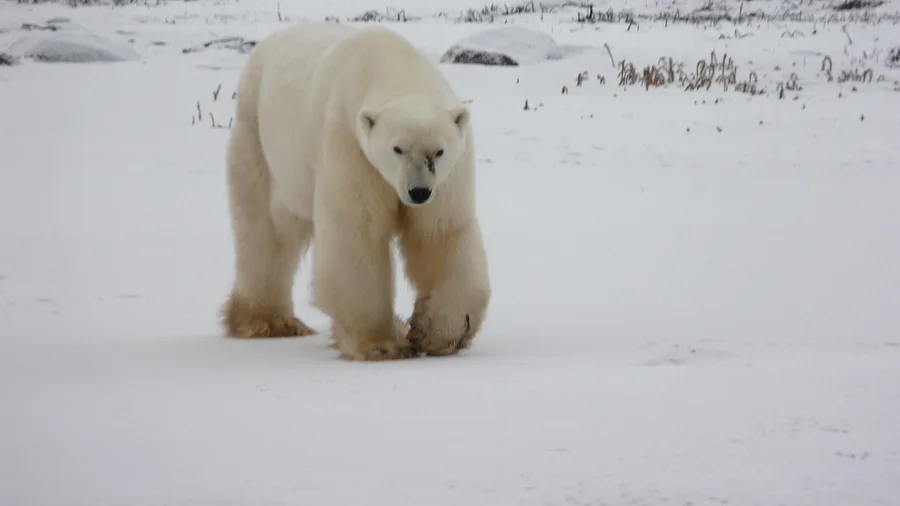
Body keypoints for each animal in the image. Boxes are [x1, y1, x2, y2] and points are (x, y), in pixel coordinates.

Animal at [220, 21, 491, 361]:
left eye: (439, 151)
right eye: (397, 148)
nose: (418, 192)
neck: (394, 66)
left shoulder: (448, 177)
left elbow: (440, 233)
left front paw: (439, 333)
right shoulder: (350, 146)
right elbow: (356, 234)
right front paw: (382, 343)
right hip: (258, 138)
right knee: (264, 230)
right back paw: (266, 321)